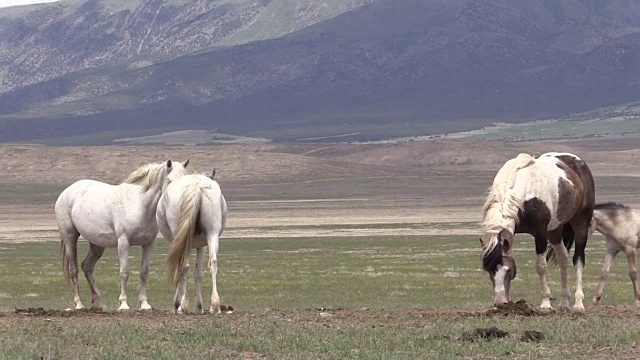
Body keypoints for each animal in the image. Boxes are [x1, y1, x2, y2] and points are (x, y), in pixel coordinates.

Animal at [55, 159, 189, 310]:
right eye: (170, 181)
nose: (180, 204)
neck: (139, 204)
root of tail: (66, 192)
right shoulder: (123, 242)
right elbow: (124, 272)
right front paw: (124, 304)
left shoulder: (149, 244)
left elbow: (144, 273)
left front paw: (144, 304)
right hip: (70, 239)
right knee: (74, 270)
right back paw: (79, 304)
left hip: (97, 245)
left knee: (87, 266)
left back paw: (98, 302)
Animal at [157, 168, 228, 312]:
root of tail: (196, 185)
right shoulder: (202, 246)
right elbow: (198, 273)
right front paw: (199, 306)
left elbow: (180, 269)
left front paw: (177, 302)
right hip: (212, 234)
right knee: (213, 262)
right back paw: (215, 305)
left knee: (184, 266)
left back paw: (183, 305)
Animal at [480, 151, 596, 310]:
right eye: (489, 270)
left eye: (509, 269)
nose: (500, 302)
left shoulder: (540, 234)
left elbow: (541, 266)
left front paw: (546, 303)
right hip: (554, 230)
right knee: (563, 258)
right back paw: (564, 303)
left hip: (581, 222)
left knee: (578, 259)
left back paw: (578, 304)